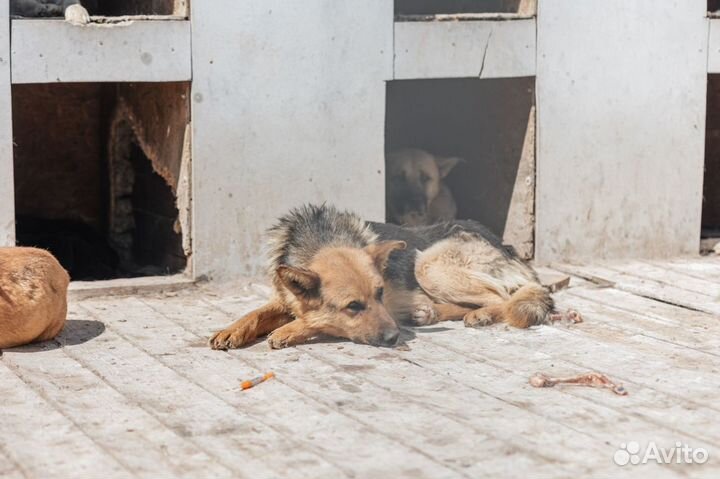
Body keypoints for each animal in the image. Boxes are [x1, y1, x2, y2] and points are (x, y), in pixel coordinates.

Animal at [210, 204, 572, 350]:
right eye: (353, 306)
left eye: (381, 293)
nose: (394, 337)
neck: (320, 241)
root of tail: (509, 248)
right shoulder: (283, 297)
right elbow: (255, 312)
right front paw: (231, 330)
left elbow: (314, 320)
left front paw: (290, 330)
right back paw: (426, 312)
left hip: (429, 265)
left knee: (503, 297)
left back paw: (477, 314)